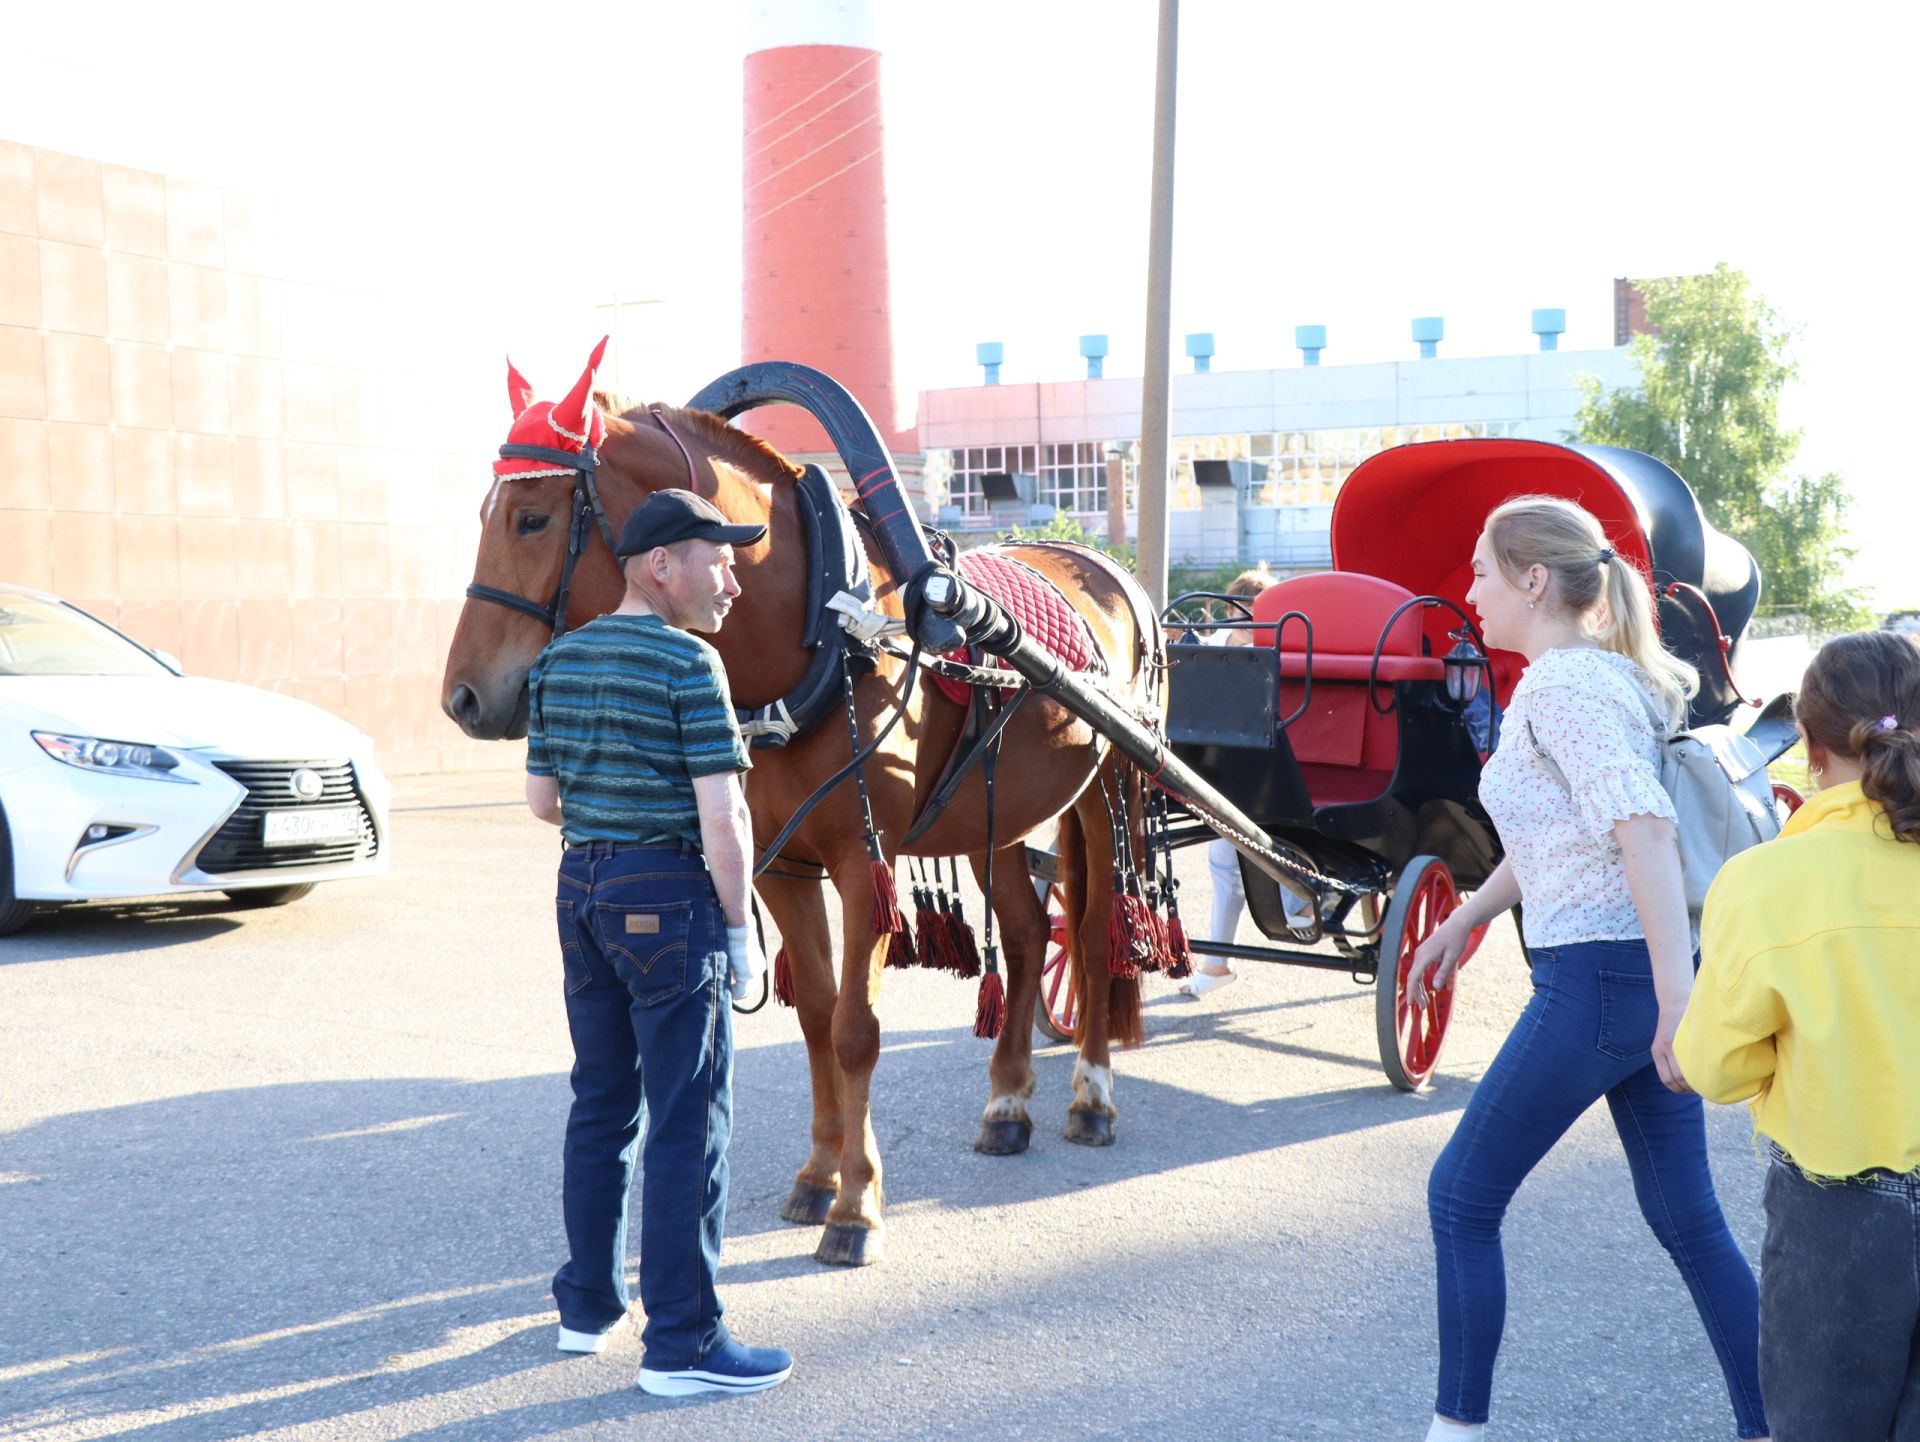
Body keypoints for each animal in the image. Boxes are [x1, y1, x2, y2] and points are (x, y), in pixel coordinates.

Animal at [445, 337, 1167, 1259]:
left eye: (532, 519)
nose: (462, 698)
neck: (826, 624)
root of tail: (1110, 569)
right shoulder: (780, 864)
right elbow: (819, 1019)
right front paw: (821, 1174)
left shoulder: (863, 861)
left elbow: (858, 1029)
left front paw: (857, 1206)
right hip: (996, 811)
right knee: (1029, 927)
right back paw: (1007, 1102)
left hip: (1106, 789)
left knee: (1097, 932)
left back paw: (1092, 1093)